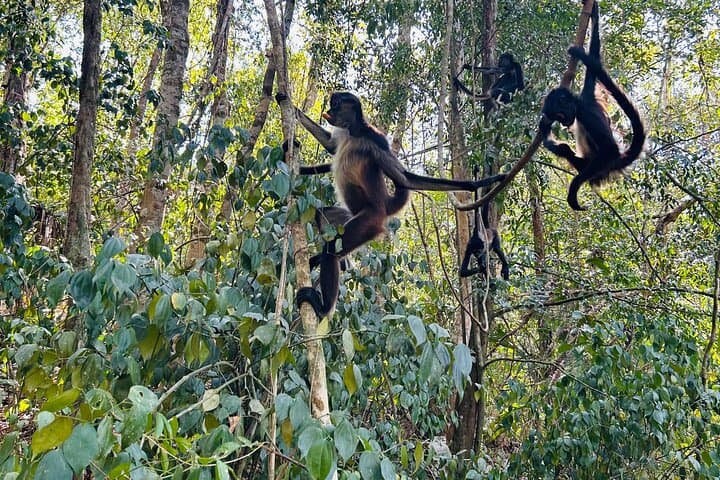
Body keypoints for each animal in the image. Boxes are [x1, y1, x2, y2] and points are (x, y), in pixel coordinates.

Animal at [278, 91, 506, 317]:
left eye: (336, 105)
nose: (329, 110)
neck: (354, 132)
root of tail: (384, 207)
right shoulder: (346, 134)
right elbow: (331, 145)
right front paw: (286, 103)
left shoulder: (376, 140)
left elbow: (405, 179)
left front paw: (478, 183)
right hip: (348, 217)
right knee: (322, 217)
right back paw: (337, 262)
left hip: (368, 222)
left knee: (333, 249)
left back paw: (324, 309)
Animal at [539, 2, 645, 211]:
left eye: (560, 116)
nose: (564, 124)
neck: (580, 104)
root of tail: (616, 164)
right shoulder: (587, 92)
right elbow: (594, 55)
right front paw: (593, 11)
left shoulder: (587, 113)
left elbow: (609, 148)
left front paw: (574, 188)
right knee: (565, 149)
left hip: (599, 169)